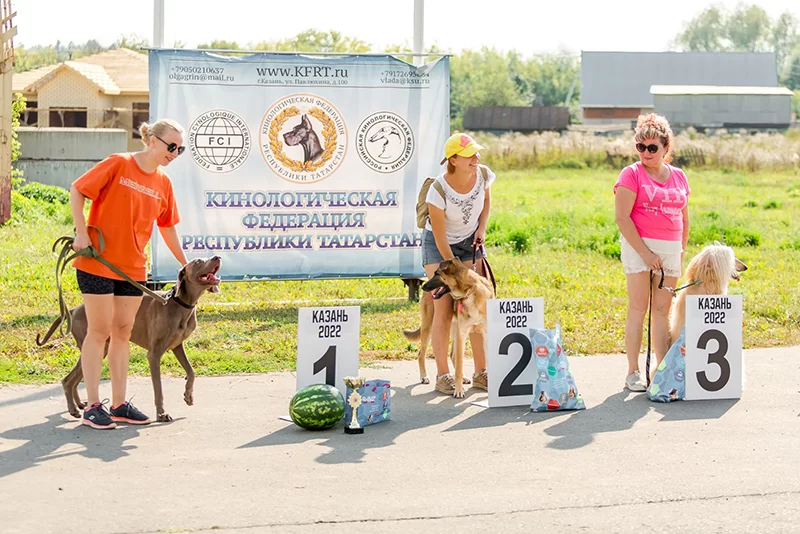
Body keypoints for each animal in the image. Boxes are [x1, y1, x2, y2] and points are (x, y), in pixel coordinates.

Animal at [36, 258, 220, 426]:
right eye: (198, 262)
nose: (217, 257)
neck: (180, 303)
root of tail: (75, 309)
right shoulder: (154, 354)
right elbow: (158, 389)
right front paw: (161, 414)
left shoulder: (177, 346)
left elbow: (191, 371)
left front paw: (188, 395)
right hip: (96, 345)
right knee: (68, 380)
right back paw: (75, 409)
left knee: (75, 378)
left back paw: (81, 404)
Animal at [406, 258, 494, 400]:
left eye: (437, 273)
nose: (423, 286)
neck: (470, 291)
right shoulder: (462, 333)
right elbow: (459, 367)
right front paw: (458, 390)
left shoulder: (485, 334)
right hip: (430, 327)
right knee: (421, 354)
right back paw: (424, 376)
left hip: (454, 330)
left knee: (452, 355)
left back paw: (464, 378)